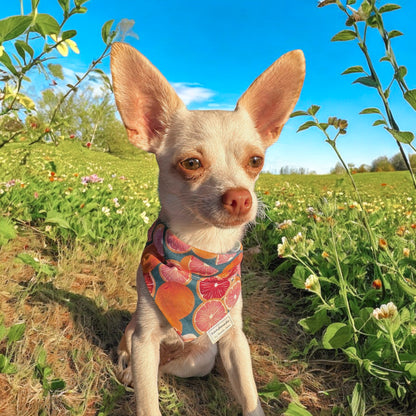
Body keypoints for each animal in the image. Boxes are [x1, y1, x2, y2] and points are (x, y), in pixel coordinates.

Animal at [111, 40, 306, 414]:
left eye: (256, 161)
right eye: (191, 163)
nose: (241, 197)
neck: (204, 249)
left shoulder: (234, 339)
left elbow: (250, 394)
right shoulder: (143, 338)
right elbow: (148, 403)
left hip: (200, 358)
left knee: (165, 368)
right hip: (131, 336)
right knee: (134, 362)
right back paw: (127, 372)